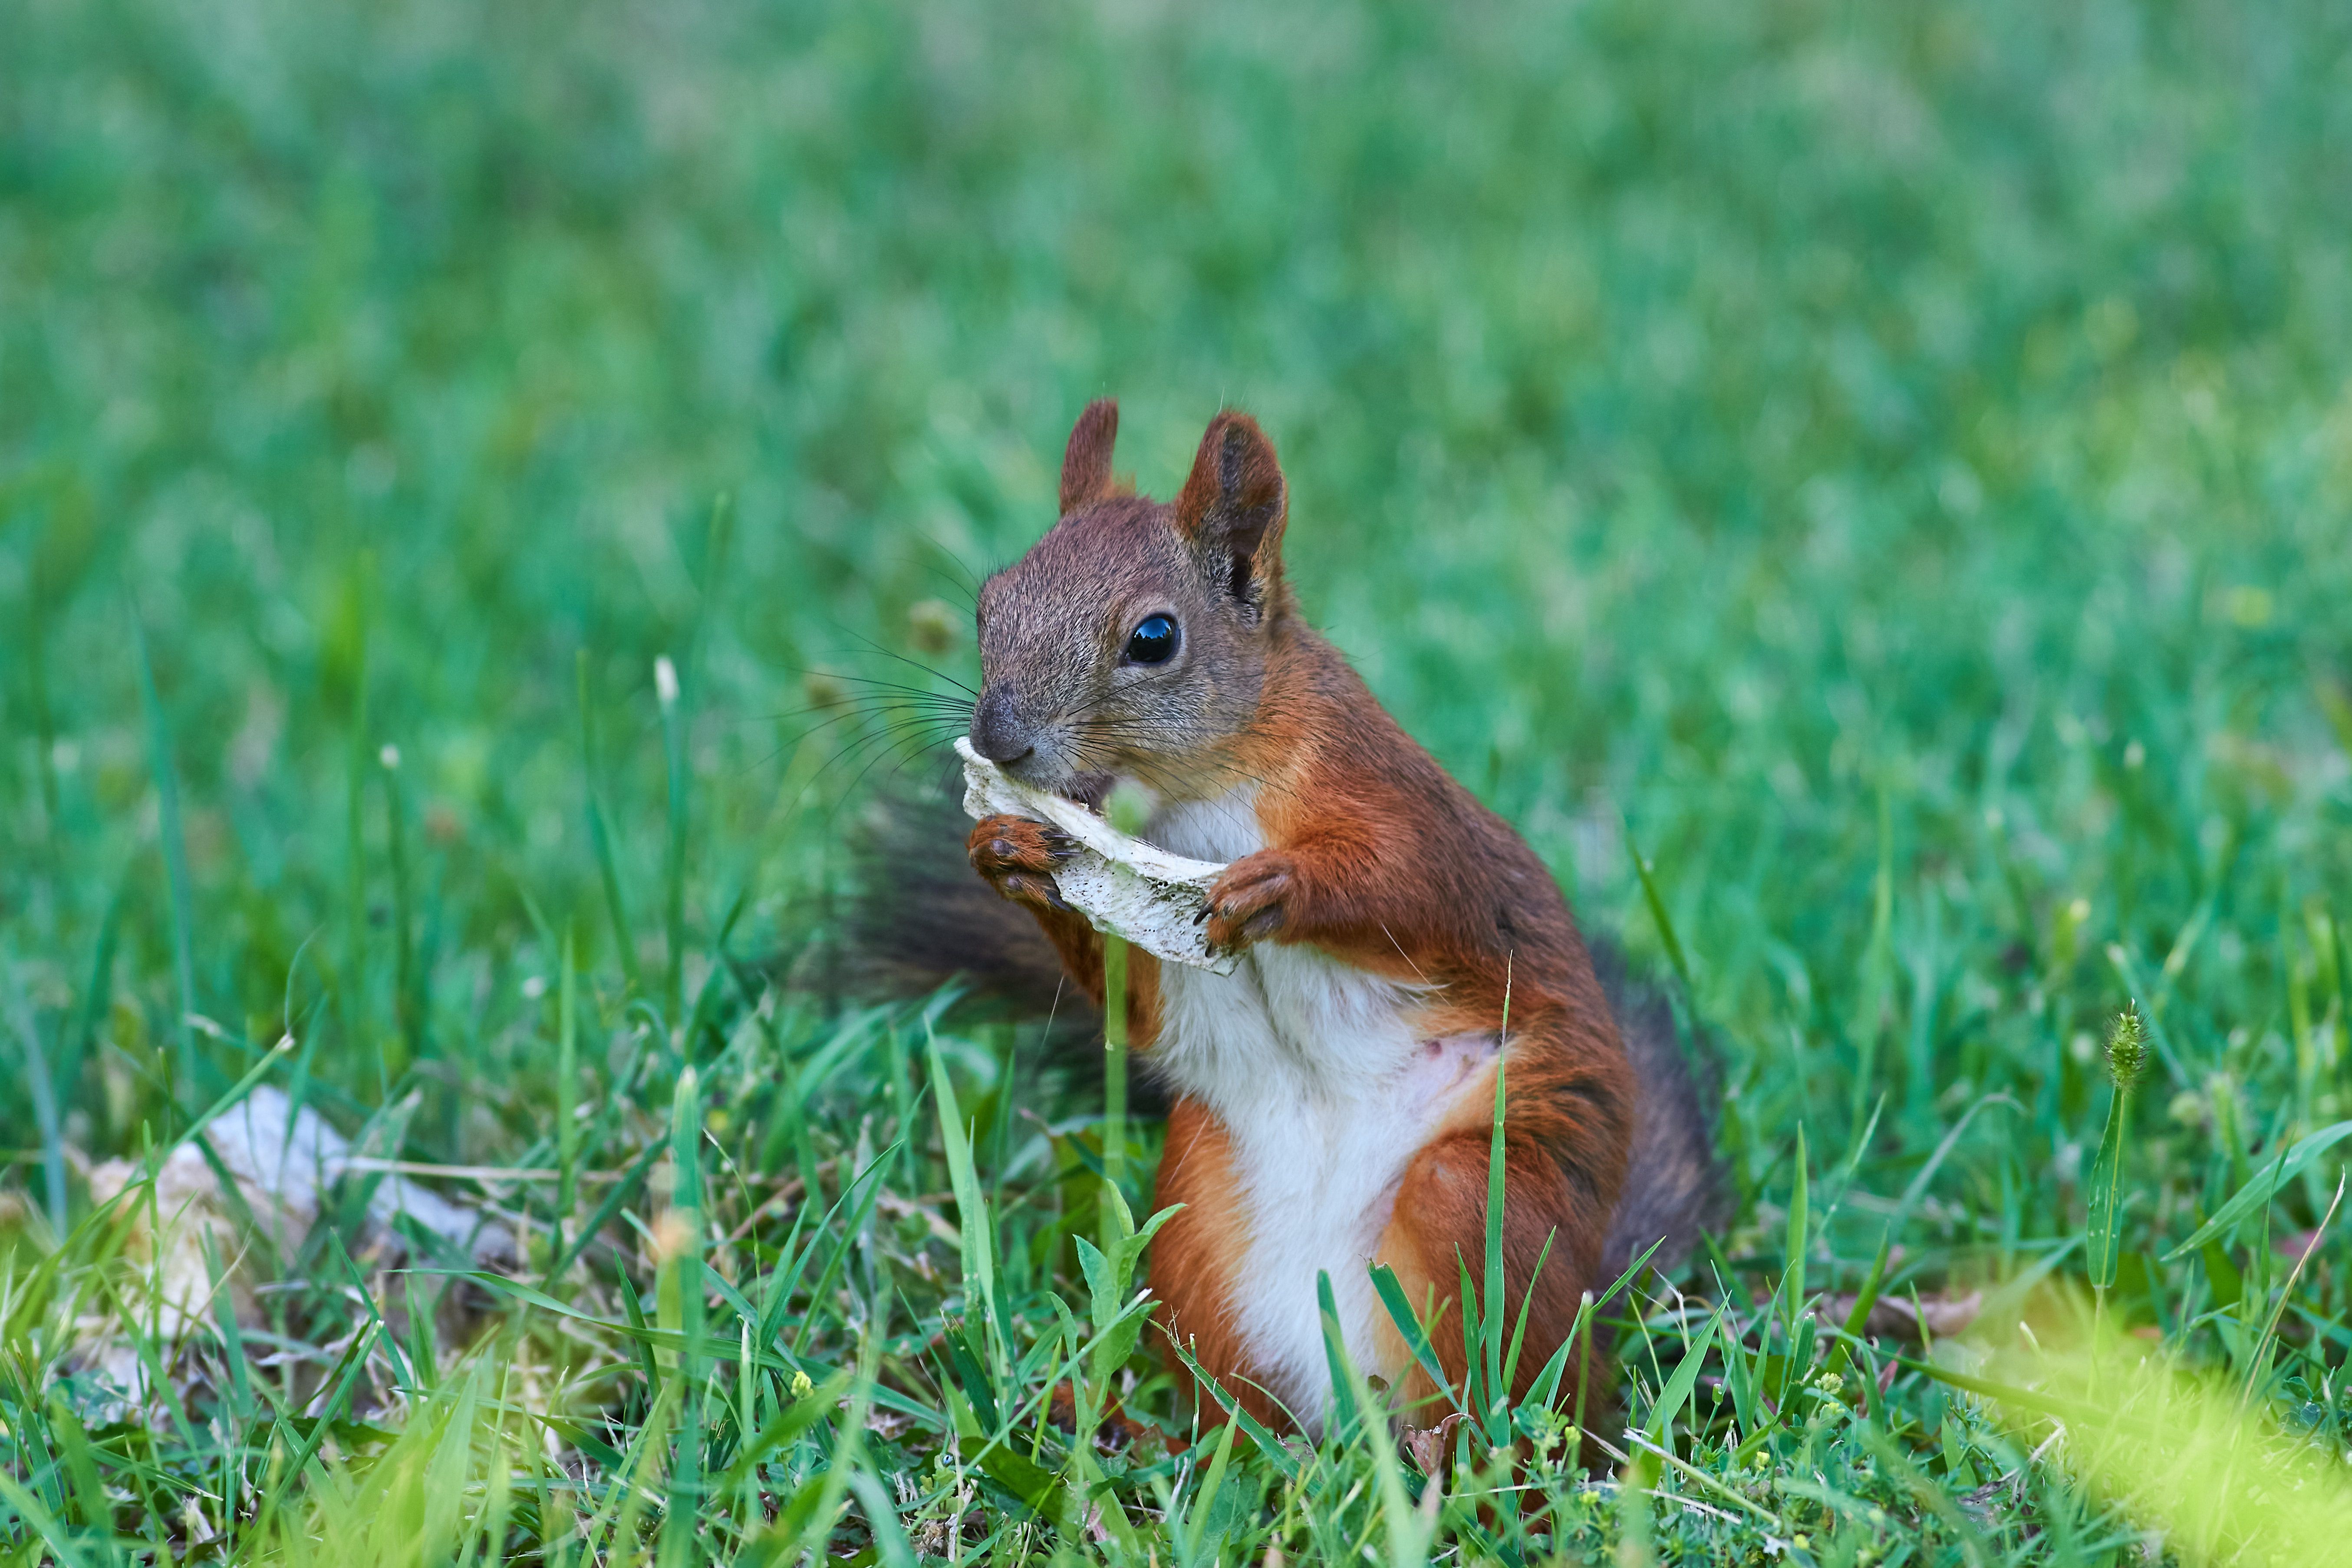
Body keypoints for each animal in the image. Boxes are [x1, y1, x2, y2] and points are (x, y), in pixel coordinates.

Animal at [959, 402, 1731, 1439]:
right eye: (988, 604)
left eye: (1154, 638)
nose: (998, 740)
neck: (1194, 794)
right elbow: (1135, 999)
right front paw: (1005, 849)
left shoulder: (1392, 799)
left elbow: (1413, 886)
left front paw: (1281, 887)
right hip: (1191, 1219)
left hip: (1486, 1200)